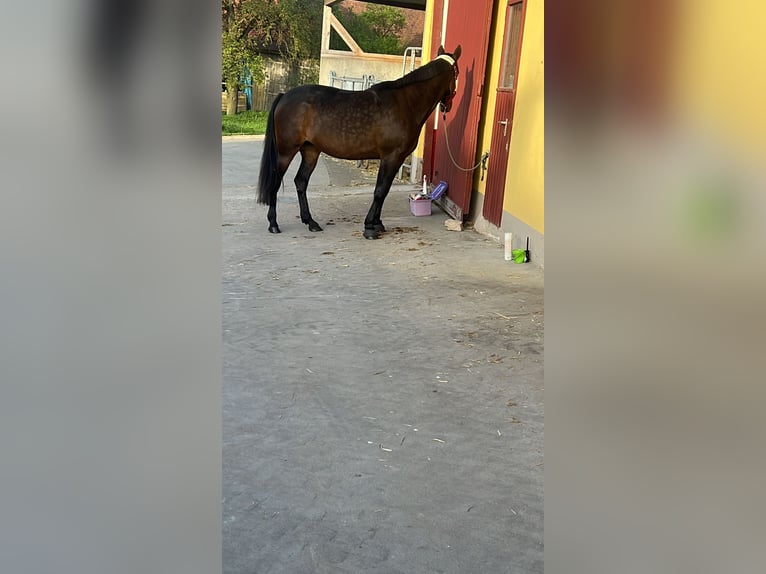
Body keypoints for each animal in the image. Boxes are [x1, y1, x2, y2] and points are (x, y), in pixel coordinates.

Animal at [258, 45, 462, 241]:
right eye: (457, 73)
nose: (449, 105)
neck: (406, 103)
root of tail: (284, 96)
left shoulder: (396, 159)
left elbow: (384, 190)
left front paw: (377, 224)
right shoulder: (391, 157)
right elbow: (380, 191)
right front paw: (370, 227)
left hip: (310, 151)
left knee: (301, 182)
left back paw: (311, 222)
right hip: (286, 152)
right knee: (276, 181)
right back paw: (273, 224)